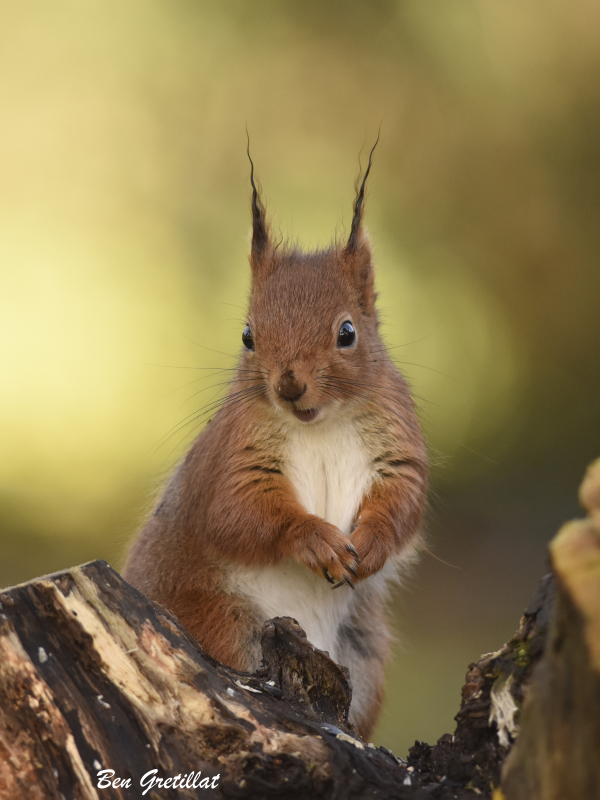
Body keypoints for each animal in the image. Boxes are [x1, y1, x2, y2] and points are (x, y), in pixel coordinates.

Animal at [124, 142, 428, 736]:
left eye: (348, 332)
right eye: (247, 335)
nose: (288, 385)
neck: (321, 424)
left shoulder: (398, 448)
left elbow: (405, 501)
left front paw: (373, 542)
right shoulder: (231, 457)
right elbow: (237, 513)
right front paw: (315, 539)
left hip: (364, 653)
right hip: (220, 619)